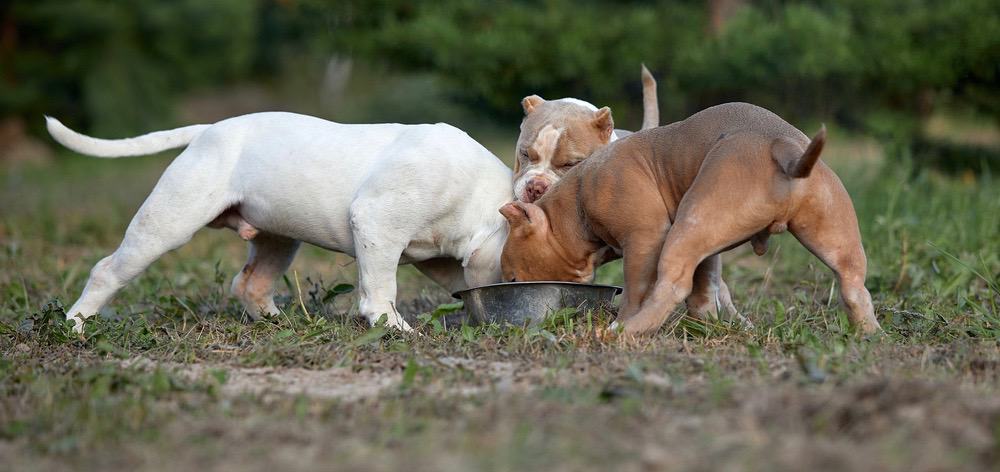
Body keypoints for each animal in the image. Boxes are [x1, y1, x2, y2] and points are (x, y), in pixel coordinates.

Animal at [46, 111, 512, 332]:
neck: (479, 198)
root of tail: (209, 130)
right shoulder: (377, 224)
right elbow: (381, 287)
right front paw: (392, 326)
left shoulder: (441, 258)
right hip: (166, 224)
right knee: (107, 270)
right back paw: (75, 325)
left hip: (278, 239)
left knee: (250, 282)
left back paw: (277, 321)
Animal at [496, 102, 880, 336]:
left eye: (512, 277)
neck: (575, 197)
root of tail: (780, 145)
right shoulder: (707, 246)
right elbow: (705, 283)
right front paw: (706, 320)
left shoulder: (645, 236)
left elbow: (637, 288)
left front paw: (626, 318)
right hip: (830, 232)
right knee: (853, 284)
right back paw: (869, 332)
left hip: (688, 227)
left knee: (671, 284)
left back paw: (624, 332)